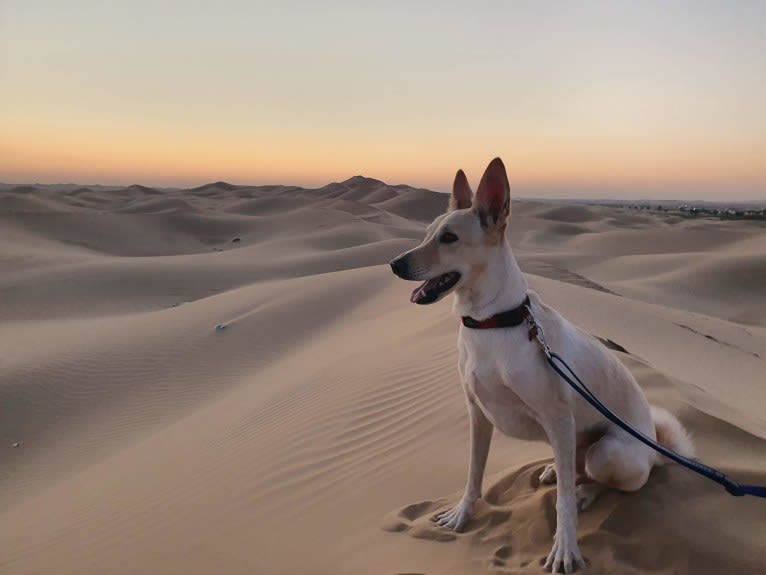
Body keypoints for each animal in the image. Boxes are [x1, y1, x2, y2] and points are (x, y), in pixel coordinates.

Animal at [390, 156, 696, 572]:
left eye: (449, 238)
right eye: (426, 233)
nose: (394, 264)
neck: (492, 323)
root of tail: (655, 450)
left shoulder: (558, 417)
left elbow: (563, 503)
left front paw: (565, 546)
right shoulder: (477, 413)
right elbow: (473, 474)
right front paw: (462, 513)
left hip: (608, 453)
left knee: (601, 479)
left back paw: (585, 492)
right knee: (571, 466)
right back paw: (554, 469)